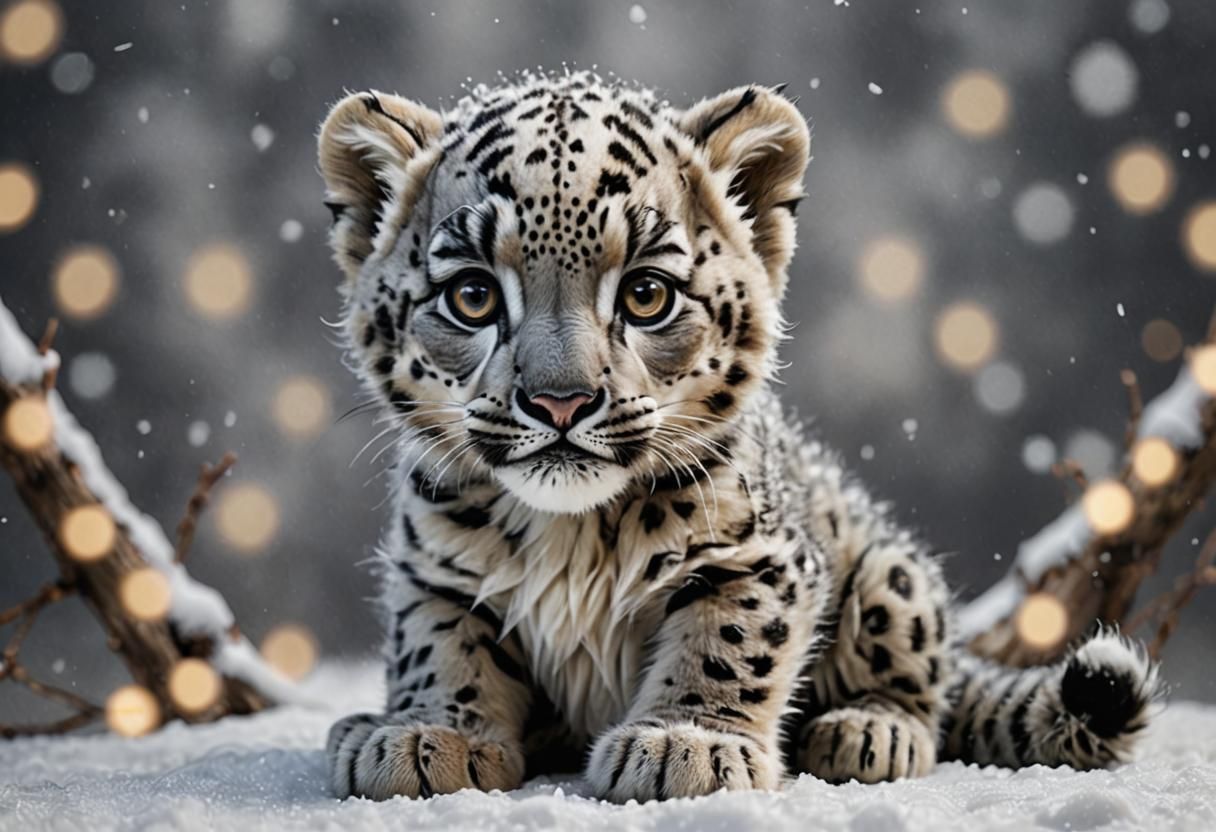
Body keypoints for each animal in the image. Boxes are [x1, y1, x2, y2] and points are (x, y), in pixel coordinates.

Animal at [316, 70, 1160, 802]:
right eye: (472, 295)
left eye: (646, 294)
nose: (561, 402)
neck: (570, 532)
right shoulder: (433, 563)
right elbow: (440, 643)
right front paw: (430, 734)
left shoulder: (757, 556)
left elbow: (729, 638)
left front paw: (685, 744)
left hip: (892, 577)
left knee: (921, 677)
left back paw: (868, 730)